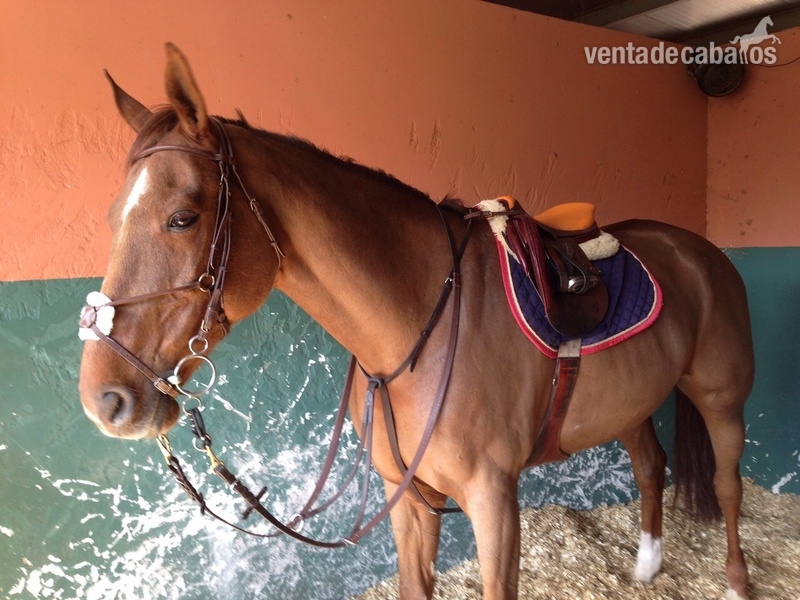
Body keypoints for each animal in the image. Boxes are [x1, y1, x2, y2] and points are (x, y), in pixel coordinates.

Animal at [78, 43, 754, 599]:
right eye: (111, 215)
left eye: (182, 218)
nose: (103, 400)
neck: (411, 335)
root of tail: (700, 250)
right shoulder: (408, 500)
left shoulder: (493, 502)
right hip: (632, 405)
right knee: (650, 465)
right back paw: (646, 567)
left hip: (721, 399)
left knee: (727, 485)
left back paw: (736, 582)